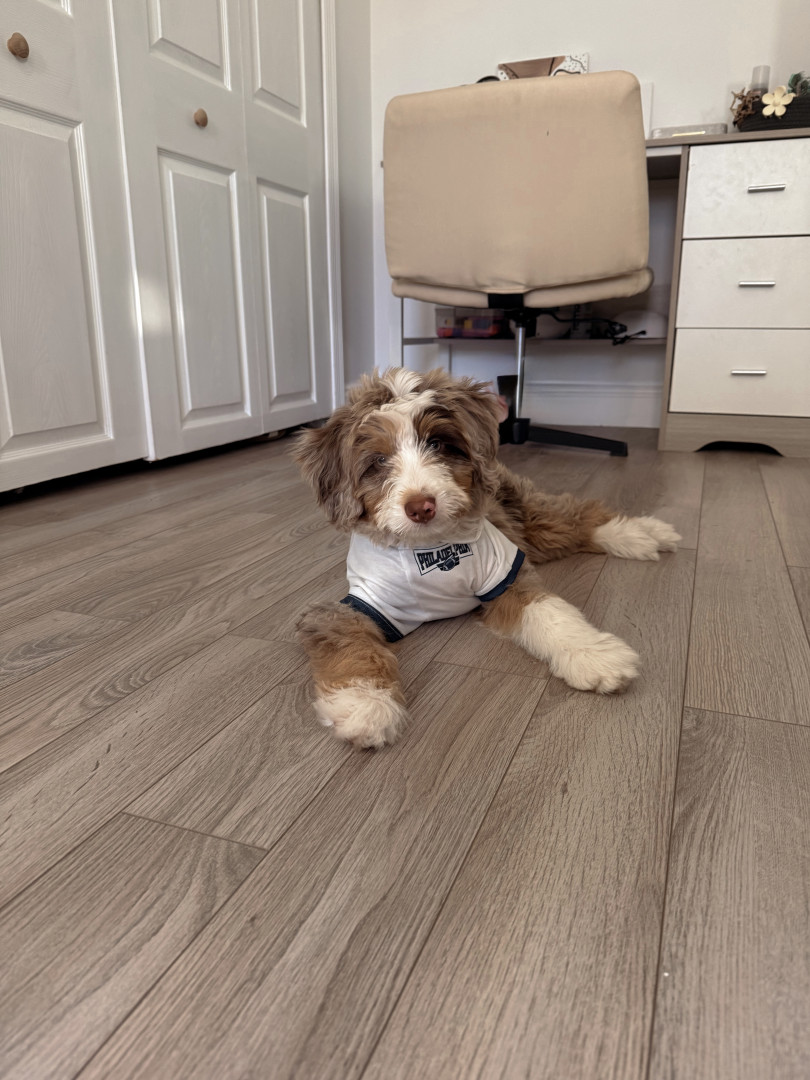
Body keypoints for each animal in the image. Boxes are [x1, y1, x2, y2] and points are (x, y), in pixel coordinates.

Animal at [293, 367, 680, 749]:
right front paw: (365, 703)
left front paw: (594, 655)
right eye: (379, 461)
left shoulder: (504, 573)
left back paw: (644, 534)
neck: (428, 548)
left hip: (526, 516)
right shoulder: (357, 605)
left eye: (436, 444)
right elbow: (348, 642)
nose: (421, 506)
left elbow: (551, 613)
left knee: (578, 516)